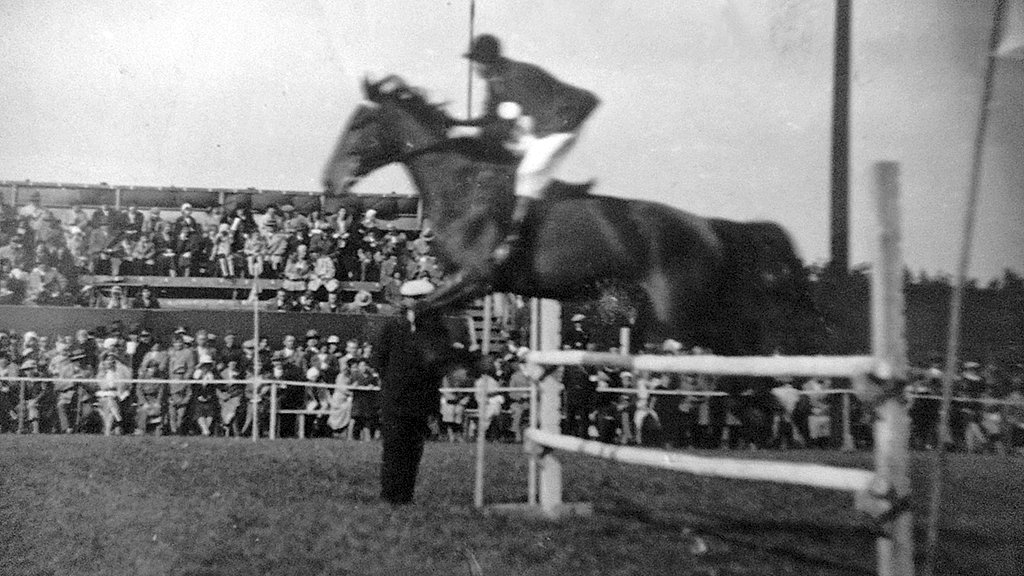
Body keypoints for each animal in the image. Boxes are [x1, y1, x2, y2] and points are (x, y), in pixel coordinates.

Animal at [323, 73, 819, 364]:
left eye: (359, 125)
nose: (329, 181)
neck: (462, 182)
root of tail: (710, 226)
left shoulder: (477, 278)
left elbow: (412, 309)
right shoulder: (467, 283)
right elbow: (417, 310)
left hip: (682, 313)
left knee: (743, 345)